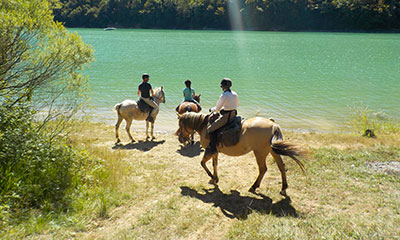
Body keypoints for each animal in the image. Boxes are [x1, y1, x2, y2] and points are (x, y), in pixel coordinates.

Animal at [175, 111, 304, 196]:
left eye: (180, 124)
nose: (180, 138)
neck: (204, 126)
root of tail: (273, 124)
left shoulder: (209, 150)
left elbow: (203, 163)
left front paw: (212, 177)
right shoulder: (215, 151)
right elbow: (214, 164)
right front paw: (215, 179)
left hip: (260, 152)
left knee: (263, 169)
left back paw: (253, 187)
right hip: (272, 151)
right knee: (281, 166)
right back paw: (283, 188)